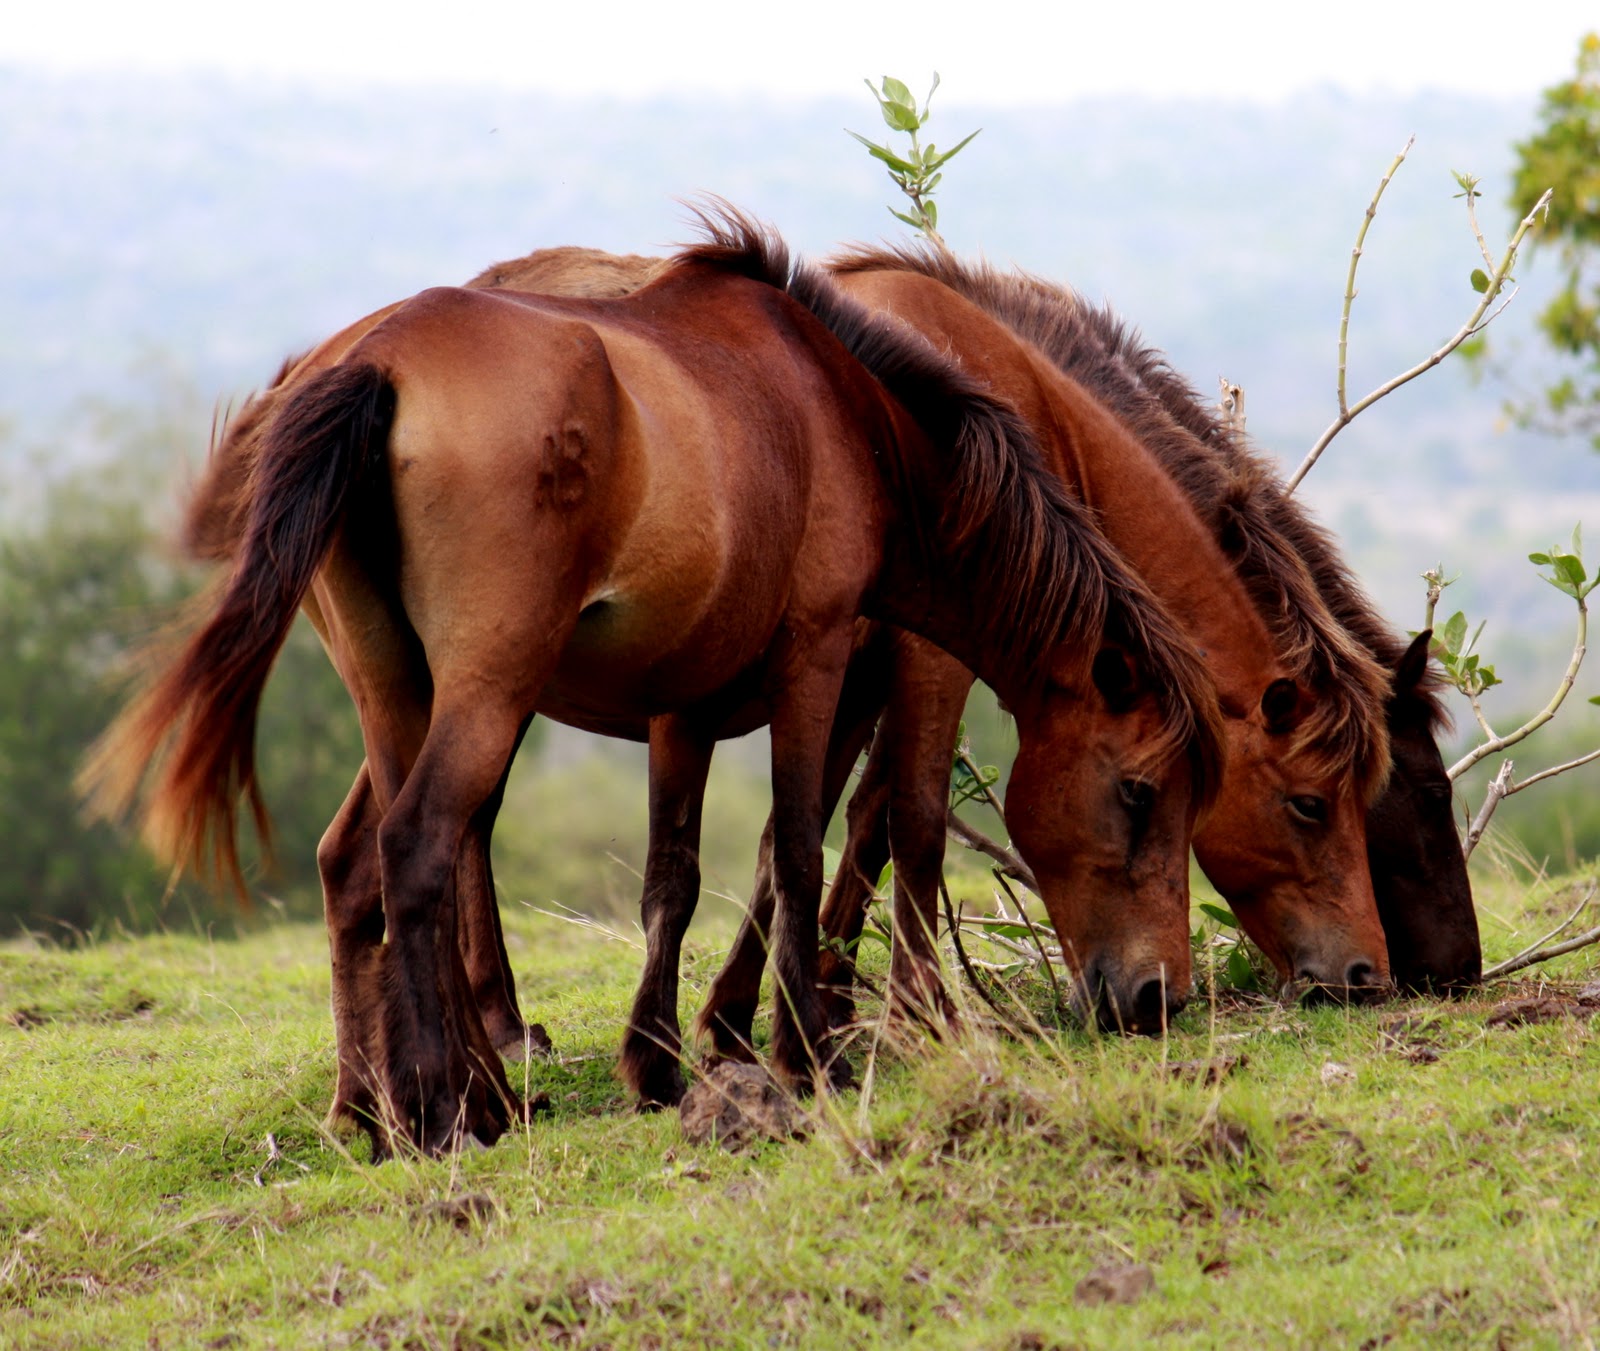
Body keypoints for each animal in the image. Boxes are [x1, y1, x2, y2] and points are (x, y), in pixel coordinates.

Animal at [93, 214, 1222, 1152]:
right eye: (1139, 792)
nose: (1155, 999)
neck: (840, 408)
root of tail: (376, 364)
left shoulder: (685, 700)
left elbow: (677, 874)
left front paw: (664, 1061)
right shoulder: (813, 655)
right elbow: (802, 849)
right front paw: (804, 1054)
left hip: (396, 688)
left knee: (370, 861)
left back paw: (416, 1101)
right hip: (489, 688)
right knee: (418, 846)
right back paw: (442, 1108)